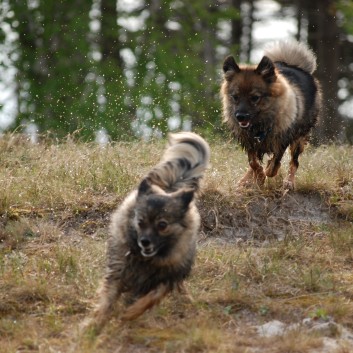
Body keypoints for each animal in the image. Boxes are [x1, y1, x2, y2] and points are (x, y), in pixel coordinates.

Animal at [220, 40, 322, 188]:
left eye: (255, 97)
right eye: (235, 97)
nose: (240, 116)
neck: (260, 125)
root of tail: (292, 64)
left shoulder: (282, 139)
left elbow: (274, 165)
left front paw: (266, 172)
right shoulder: (250, 142)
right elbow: (253, 162)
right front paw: (258, 177)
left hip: (299, 138)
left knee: (294, 162)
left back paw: (289, 182)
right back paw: (245, 180)